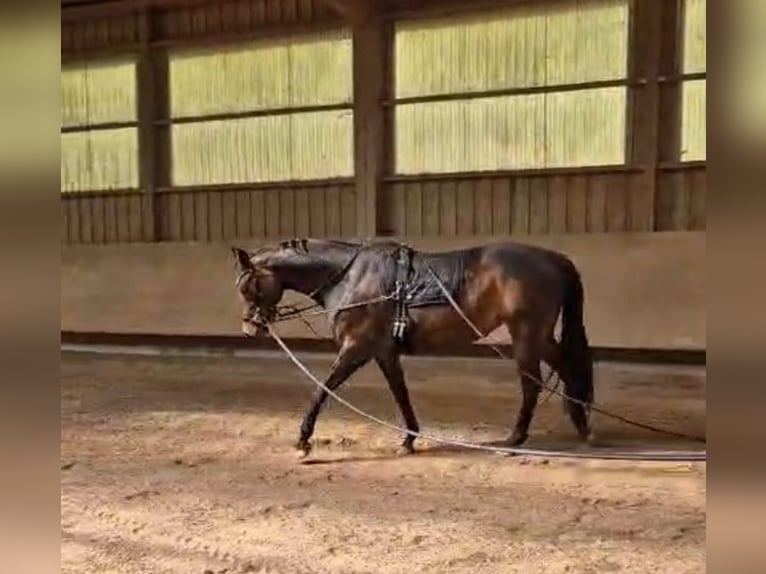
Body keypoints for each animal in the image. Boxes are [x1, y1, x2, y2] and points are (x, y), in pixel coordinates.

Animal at [231, 238, 596, 460]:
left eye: (250, 286)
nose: (250, 328)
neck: (349, 277)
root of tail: (554, 258)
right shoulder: (383, 350)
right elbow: (400, 391)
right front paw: (409, 439)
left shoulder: (356, 348)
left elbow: (323, 388)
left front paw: (303, 439)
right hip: (539, 337)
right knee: (565, 367)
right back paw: (580, 424)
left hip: (526, 336)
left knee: (532, 384)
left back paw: (516, 439)